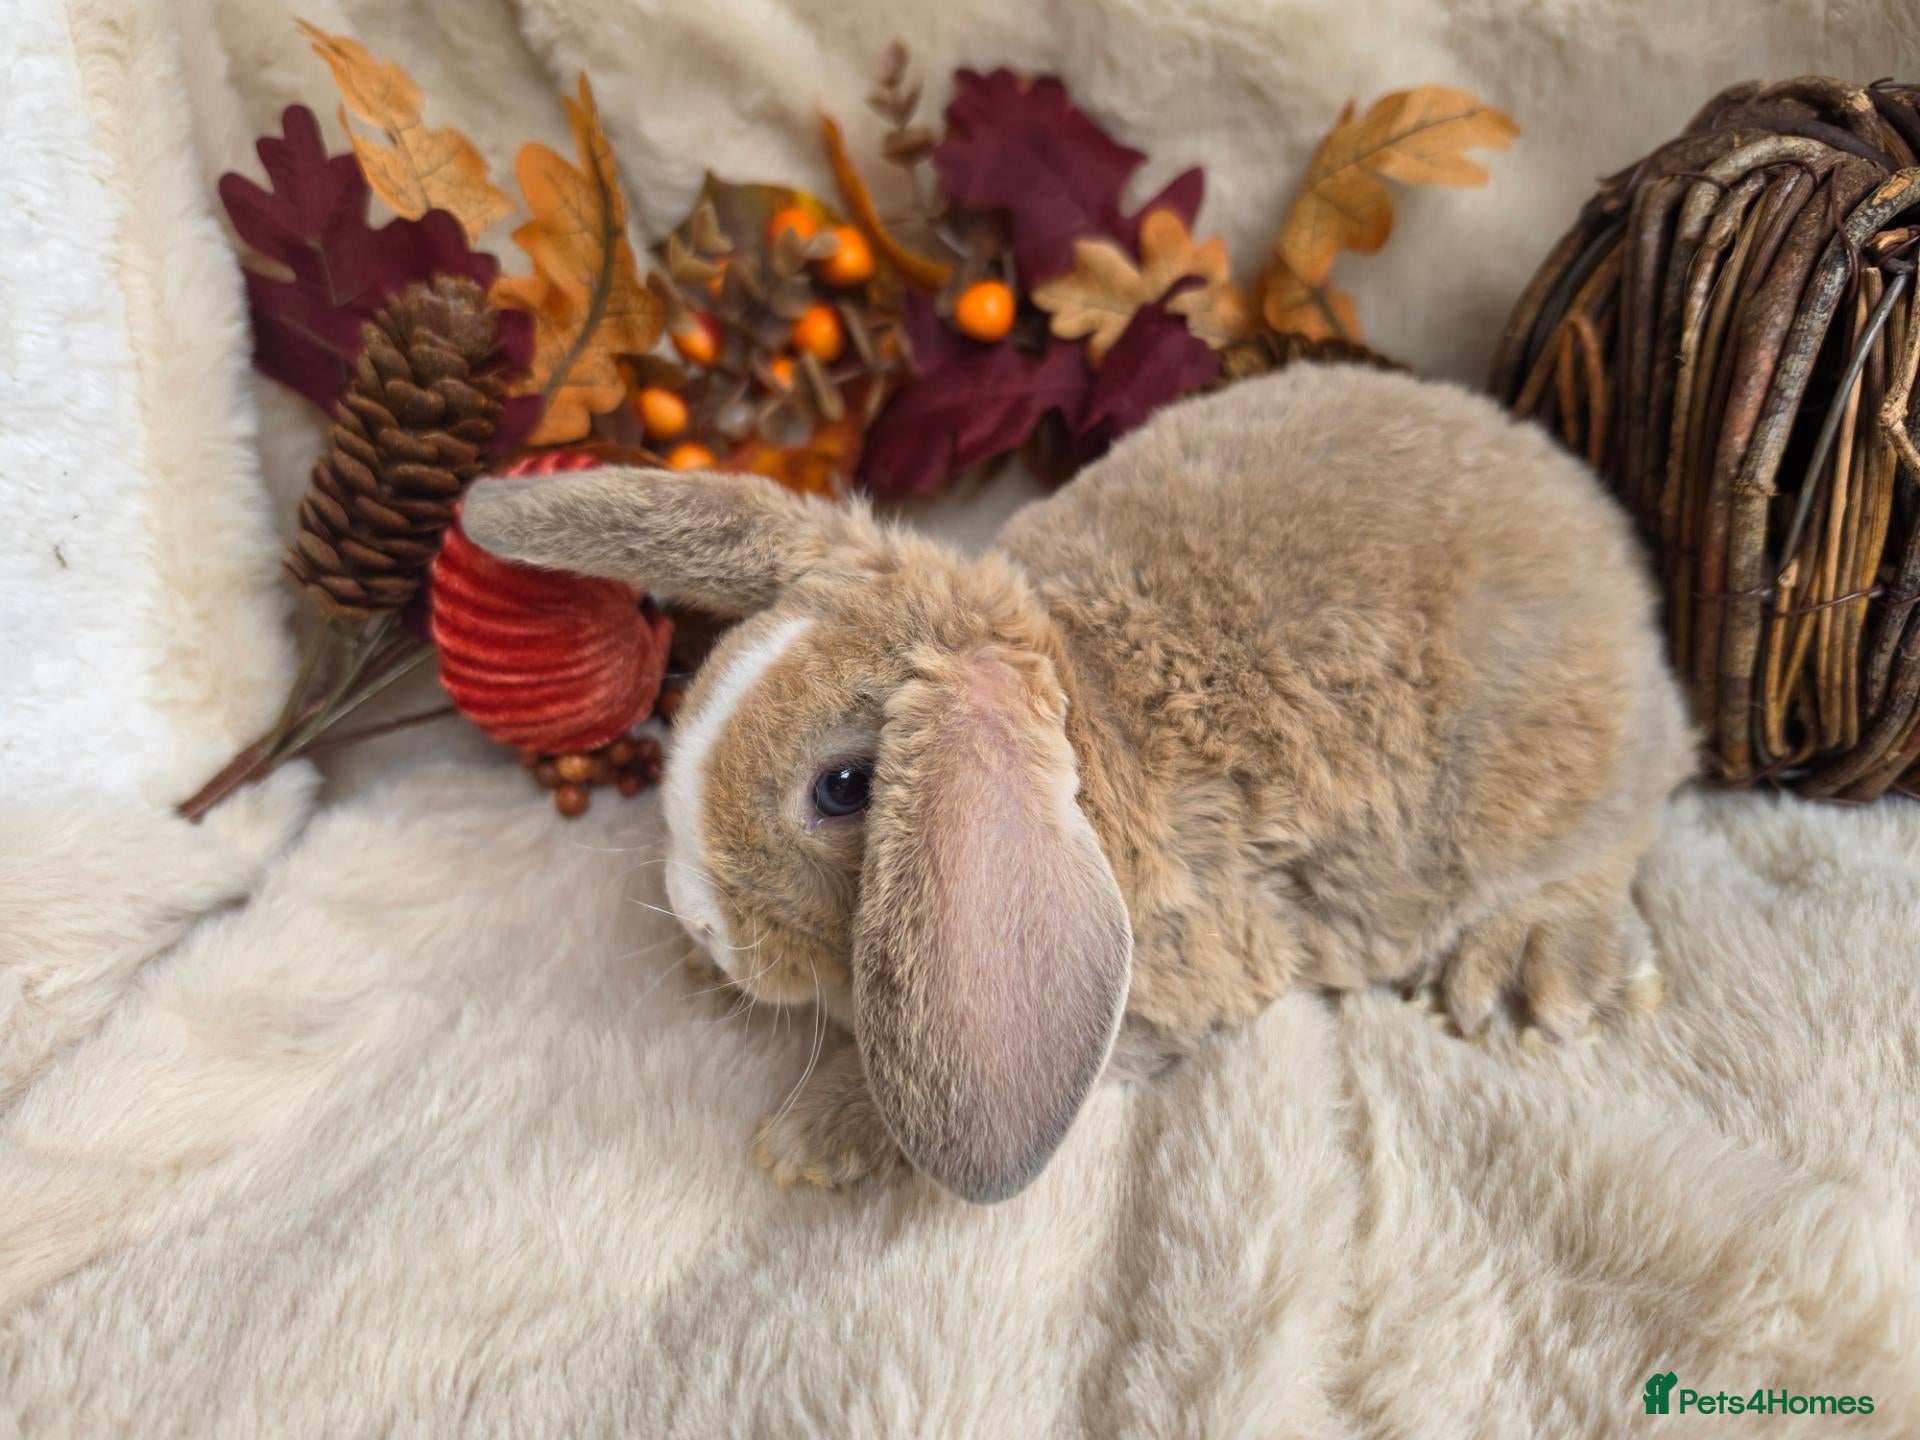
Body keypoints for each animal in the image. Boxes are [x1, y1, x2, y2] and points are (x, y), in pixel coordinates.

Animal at [461, 362, 1694, 1205]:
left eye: (847, 787)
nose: (703, 926)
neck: (1080, 712)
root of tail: (1606, 534)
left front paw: (814, 1140)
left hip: (1553, 772)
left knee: (1626, 819)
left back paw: (1534, 969)